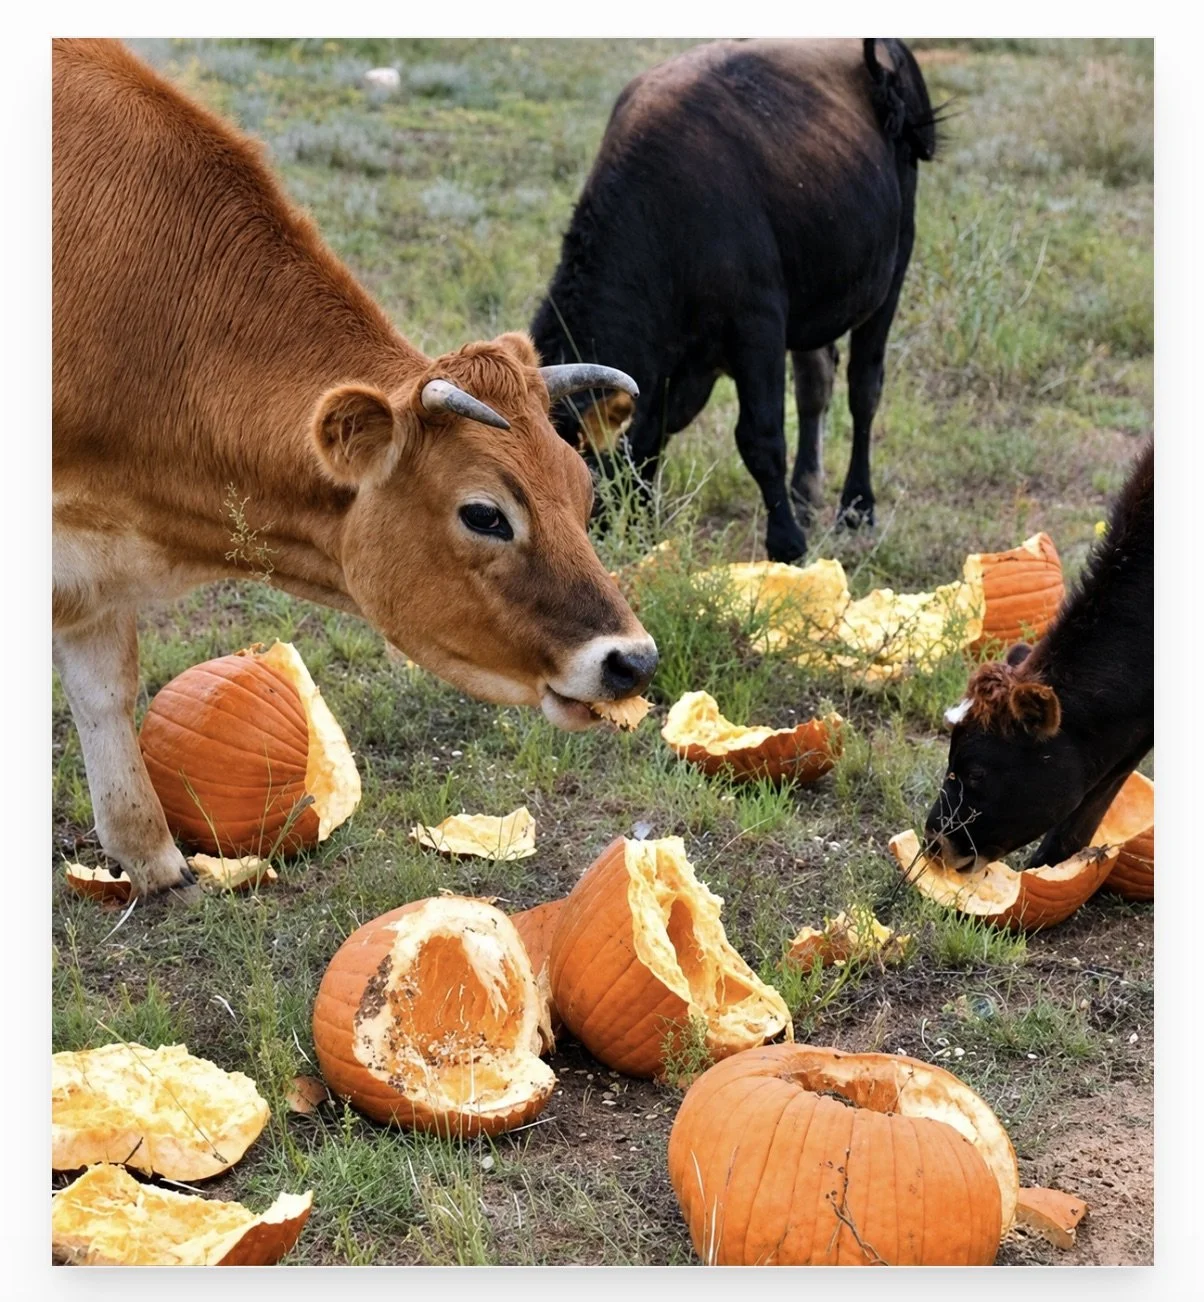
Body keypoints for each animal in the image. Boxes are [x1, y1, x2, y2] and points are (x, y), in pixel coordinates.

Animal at [53, 39, 657, 901]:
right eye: (485, 513)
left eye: (582, 490)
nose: (633, 660)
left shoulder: (91, 567)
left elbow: (105, 689)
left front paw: (153, 861)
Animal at [530, 38, 939, 563]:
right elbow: (654, 434)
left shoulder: (757, 328)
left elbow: (760, 437)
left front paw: (787, 542)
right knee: (816, 382)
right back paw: (806, 492)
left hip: (891, 269)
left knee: (863, 388)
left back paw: (857, 507)